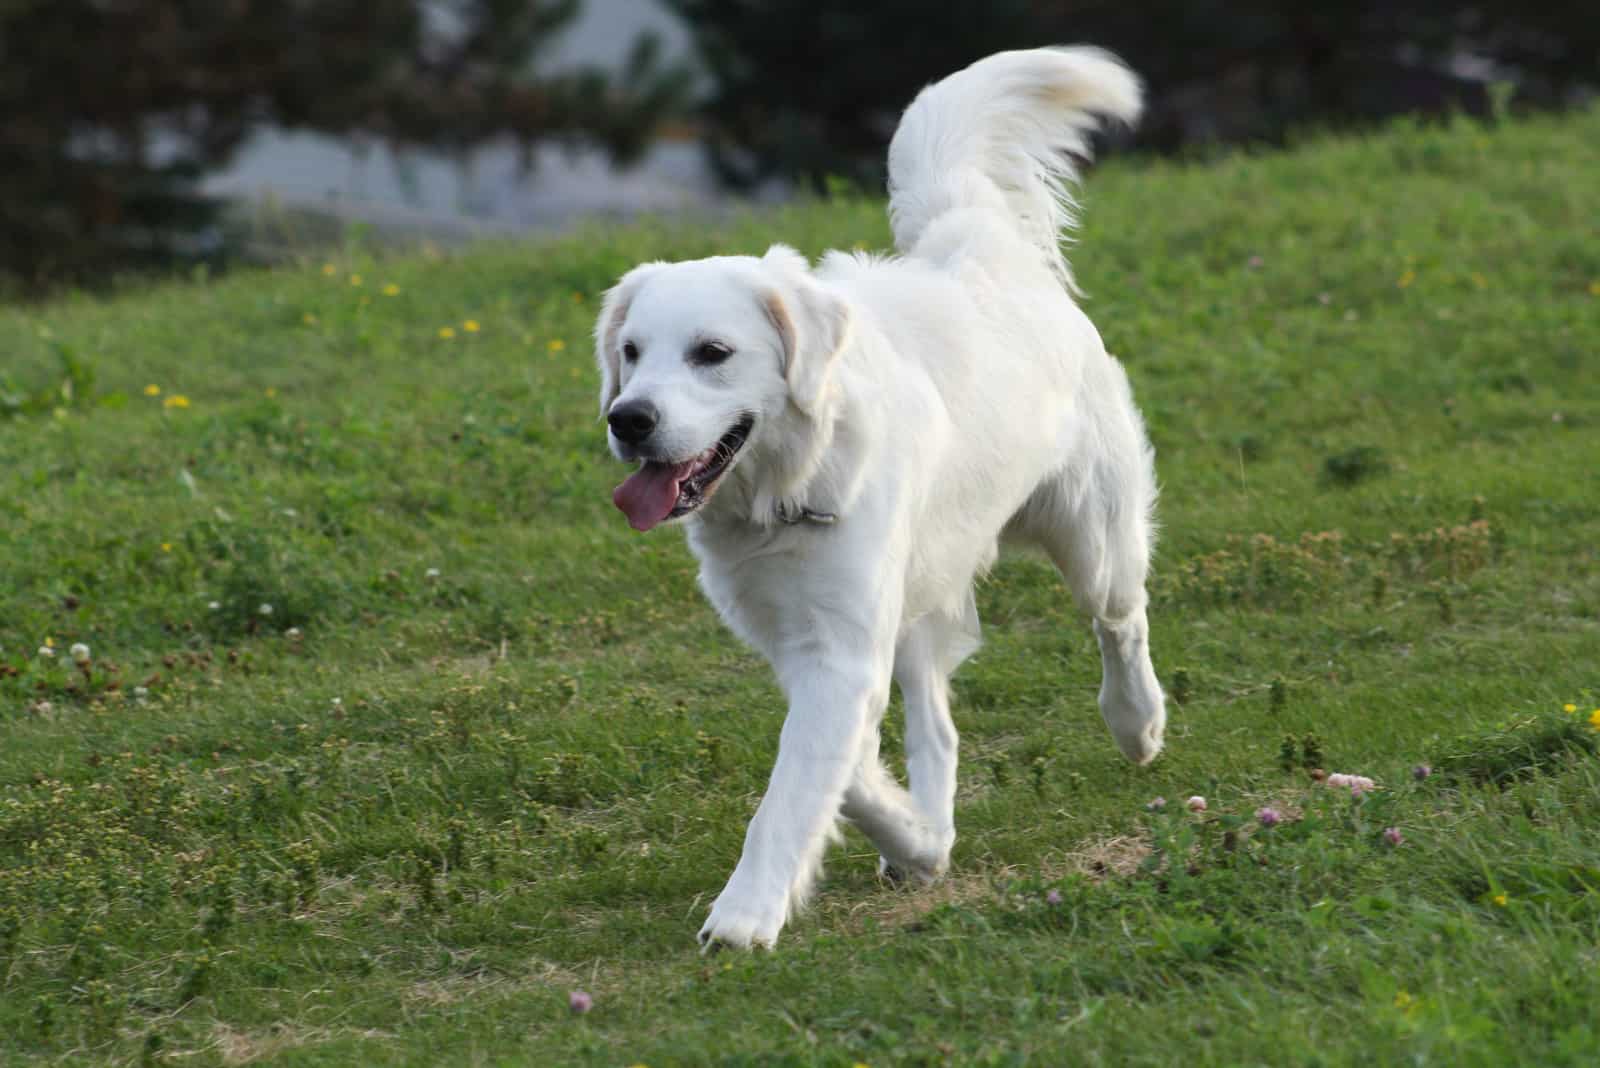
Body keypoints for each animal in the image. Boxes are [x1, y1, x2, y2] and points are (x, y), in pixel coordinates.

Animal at [598, 47, 1164, 952]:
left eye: (711, 353)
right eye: (631, 351)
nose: (629, 419)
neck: (786, 492)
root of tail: (975, 242)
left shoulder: (841, 646)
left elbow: (794, 789)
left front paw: (746, 914)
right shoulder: (806, 642)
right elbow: (846, 766)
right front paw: (912, 837)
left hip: (1092, 538)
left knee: (1120, 621)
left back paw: (1137, 723)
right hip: (921, 596)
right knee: (937, 723)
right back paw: (924, 840)